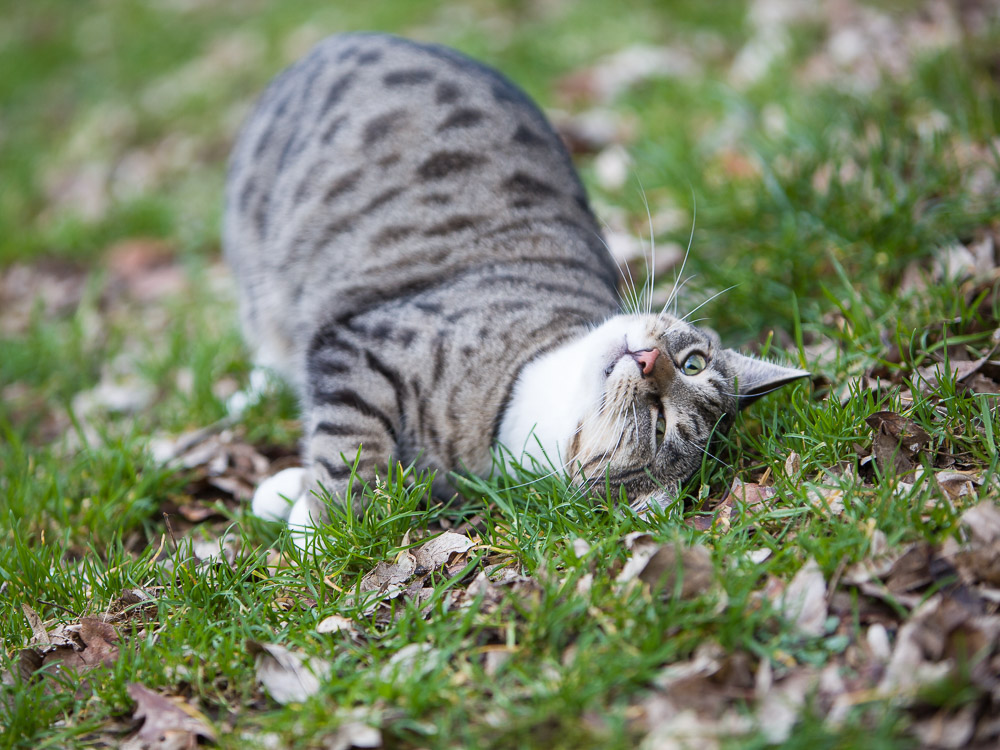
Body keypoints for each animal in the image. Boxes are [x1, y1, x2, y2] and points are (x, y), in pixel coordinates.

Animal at [223, 32, 808, 548]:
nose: (647, 361)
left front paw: (313, 526)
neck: (527, 389)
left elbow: (353, 454)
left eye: (662, 425)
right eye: (692, 363)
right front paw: (309, 512)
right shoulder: (361, 344)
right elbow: (351, 443)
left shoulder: (359, 353)